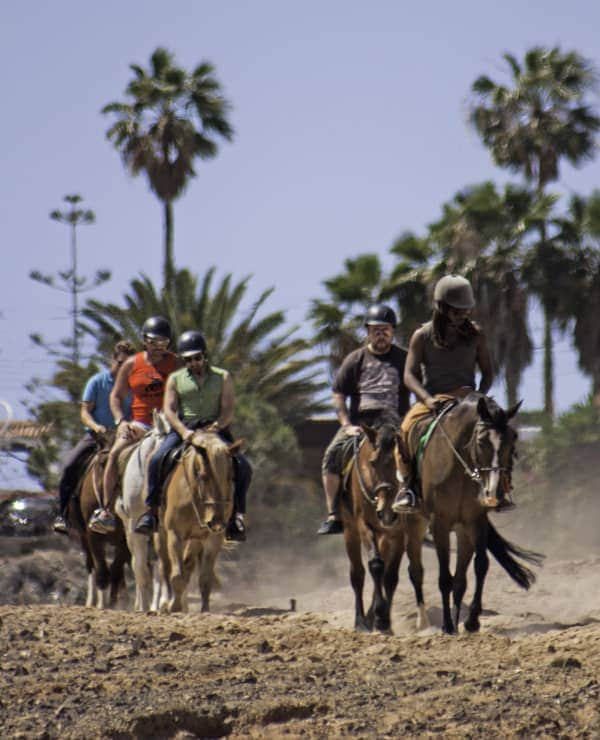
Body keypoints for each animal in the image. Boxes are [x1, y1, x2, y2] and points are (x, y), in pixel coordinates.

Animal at [66, 434, 131, 608]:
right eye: (102, 463)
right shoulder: (92, 534)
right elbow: (101, 569)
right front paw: (102, 605)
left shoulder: (124, 538)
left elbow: (116, 569)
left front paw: (114, 601)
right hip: (83, 536)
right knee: (91, 565)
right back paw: (92, 601)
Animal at [115, 410, 171, 612]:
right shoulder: (134, 525)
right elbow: (140, 568)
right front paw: (145, 608)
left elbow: (163, 567)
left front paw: (163, 604)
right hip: (129, 529)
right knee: (136, 563)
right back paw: (141, 605)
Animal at [157, 430, 241, 616]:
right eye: (203, 476)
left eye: (231, 477)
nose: (216, 521)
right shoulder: (174, 533)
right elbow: (176, 575)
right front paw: (174, 607)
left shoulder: (212, 538)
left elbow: (205, 578)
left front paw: (205, 610)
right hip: (160, 533)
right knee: (165, 566)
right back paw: (165, 603)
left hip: (196, 540)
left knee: (188, 566)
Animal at [340, 424, 428, 632]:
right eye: (373, 463)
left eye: (401, 463)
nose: (386, 513)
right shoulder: (363, 525)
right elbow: (375, 565)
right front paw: (378, 618)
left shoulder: (398, 534)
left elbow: (390, 576)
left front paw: (383, 619)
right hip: (350, 532)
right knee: (357, 574)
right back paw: (361, 621)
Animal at [410, 394, 548, 636]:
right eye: (482, 441)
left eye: (513, 438)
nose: (495, 493)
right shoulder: (439, 523)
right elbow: (444, 577)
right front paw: (447, 625)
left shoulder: (476, 521)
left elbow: (481, 565)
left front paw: (472, 621)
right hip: (414, 523)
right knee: (416, 571)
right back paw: (427, 622)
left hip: (462, 531)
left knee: (460, 579)